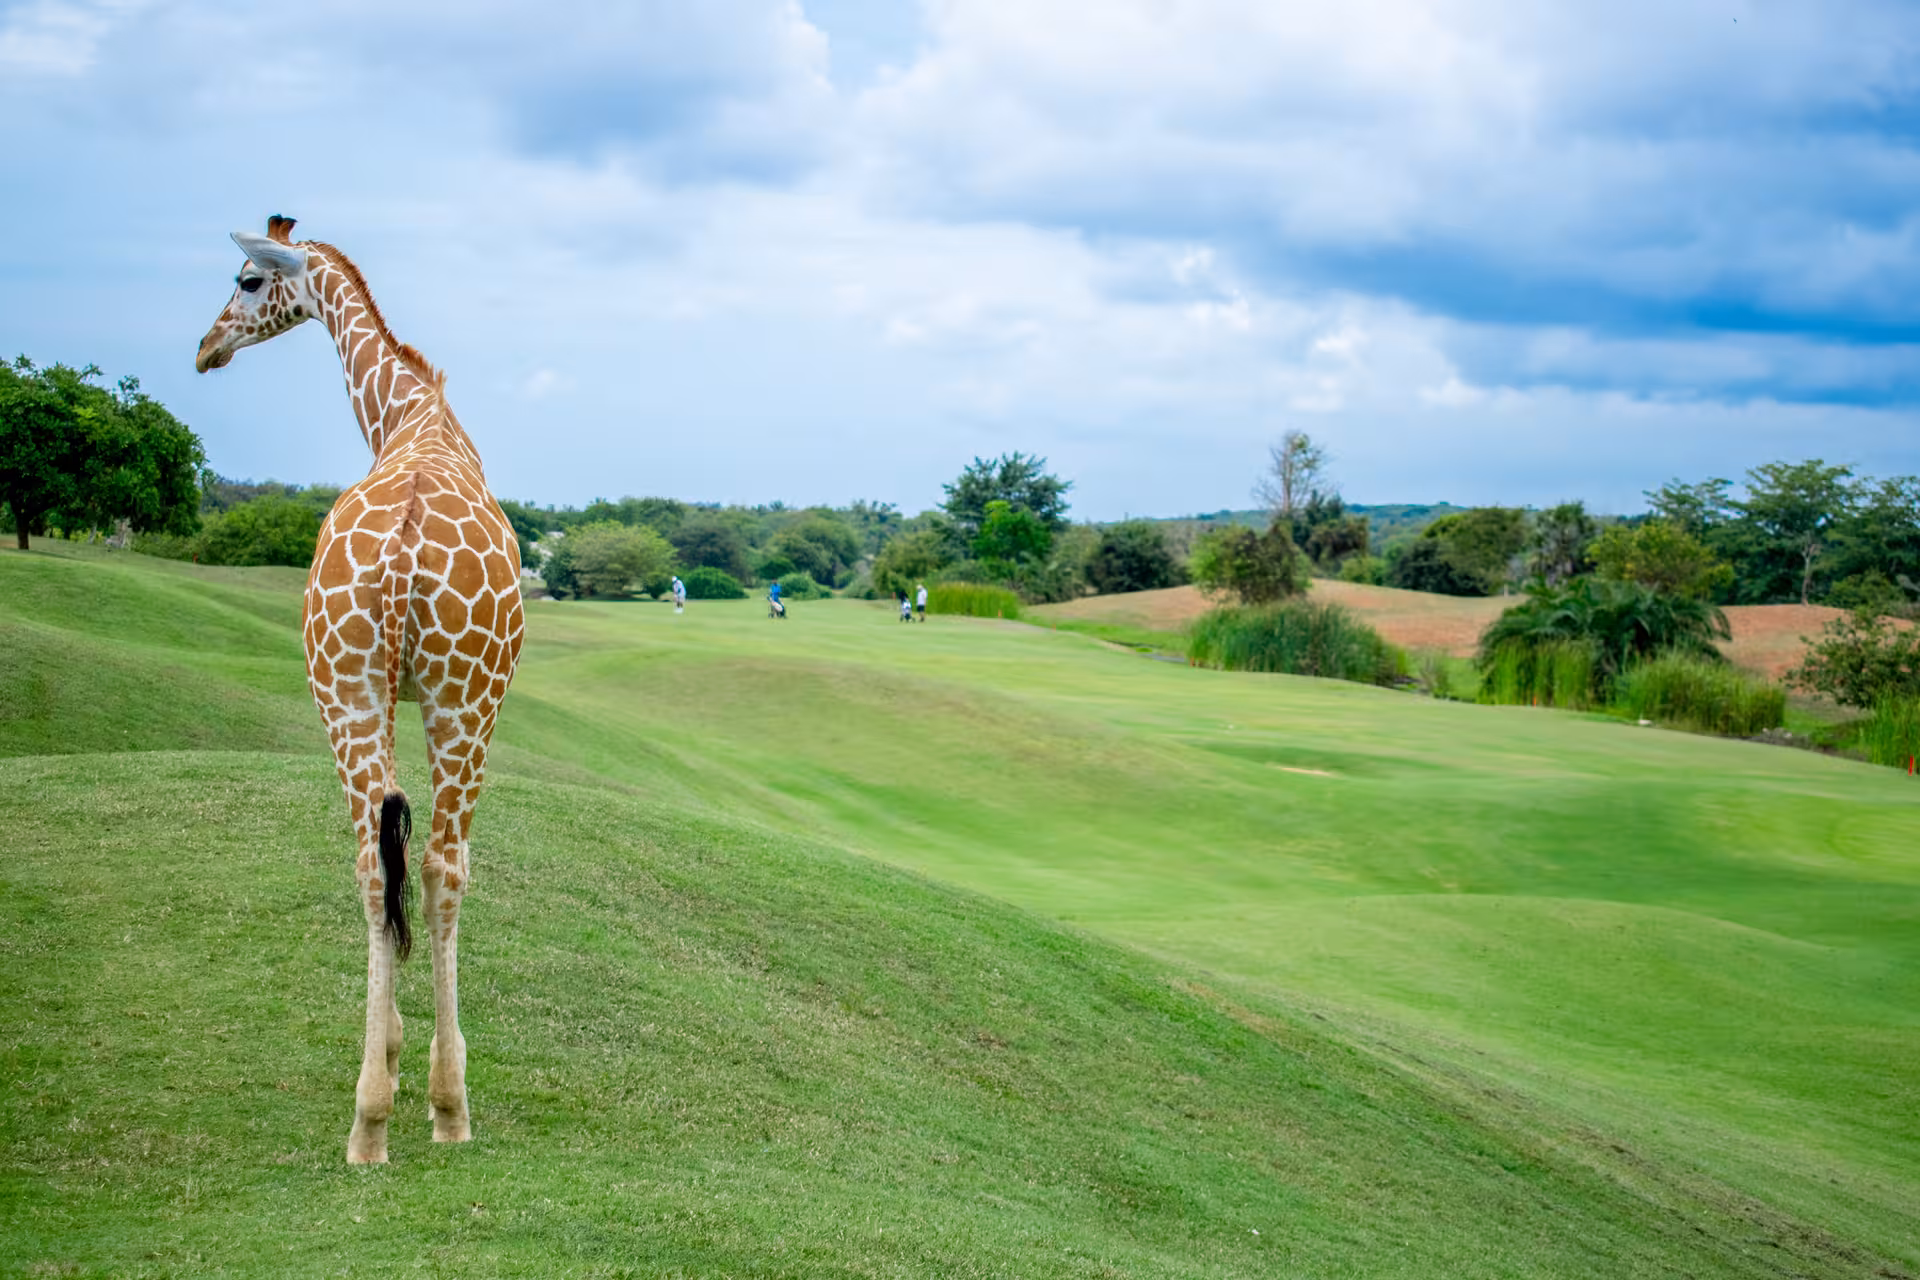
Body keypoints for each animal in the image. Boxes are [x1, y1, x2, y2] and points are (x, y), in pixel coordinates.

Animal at [196, 216, 525, 1164]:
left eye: (246, 280)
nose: (206, 348)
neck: (409, 416)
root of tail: (405, 551)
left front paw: (393, 1053)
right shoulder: (425, 694)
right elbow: (416, 858)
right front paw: (408, 1061)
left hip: (359, 688)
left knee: (390, 861)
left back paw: (378, 1114)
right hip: (455, 694)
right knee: (435, 862)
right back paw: (436, 1107)